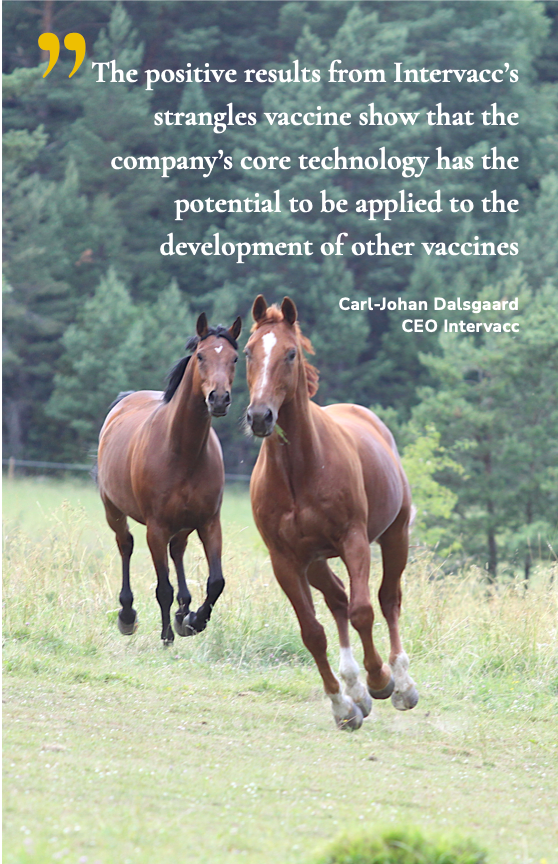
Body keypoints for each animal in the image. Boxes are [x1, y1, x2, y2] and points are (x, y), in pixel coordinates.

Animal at [97, 312, 241, 644]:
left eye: (235, 358)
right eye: (201, 355)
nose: (219, 399)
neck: (182, 451)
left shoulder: (209, 522)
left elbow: (216, 581)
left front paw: (194, 620)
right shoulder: (157, 527)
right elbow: (163, 587)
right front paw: (166, 636)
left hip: (185, 524)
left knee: (178, 551)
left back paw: (182, 612)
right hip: (113, 510)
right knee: (125, 544)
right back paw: (128, 615)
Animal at [245, 295, 418, 730]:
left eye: (290, 353)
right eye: (248, 352)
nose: (259, 416)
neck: (299, 470)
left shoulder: (353, 541)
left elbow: (363, 611)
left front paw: (380, 680)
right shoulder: (286, 560)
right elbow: (313, 632)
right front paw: (343, 706)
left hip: (395, 536)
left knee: (387, 599)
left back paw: (400, 682)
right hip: (317, 562)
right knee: (338, 599)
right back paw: (354, 689)